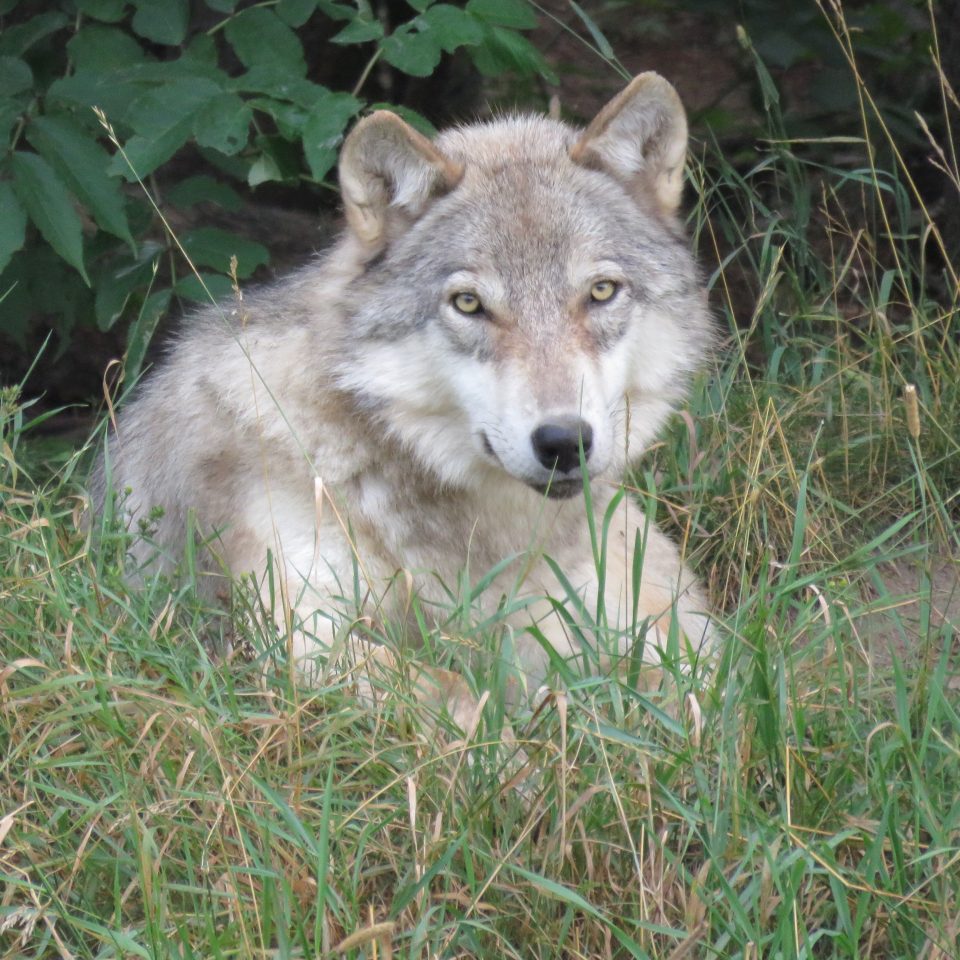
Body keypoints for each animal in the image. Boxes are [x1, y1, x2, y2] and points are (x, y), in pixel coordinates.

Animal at [94, 73, 714, 718]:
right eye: (468, 304)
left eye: (601, 291)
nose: (564, 441)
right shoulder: (294, 640)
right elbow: (457, 694)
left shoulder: (646, 628)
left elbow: (696, 689)